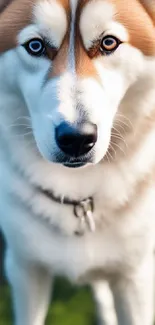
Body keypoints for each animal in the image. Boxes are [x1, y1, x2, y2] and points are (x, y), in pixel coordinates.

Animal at [0, 0, 155, 324]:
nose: (76, 139)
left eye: (109, 43)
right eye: (35, 46)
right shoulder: (25, 268)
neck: (79, 195)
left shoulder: (135, 276)